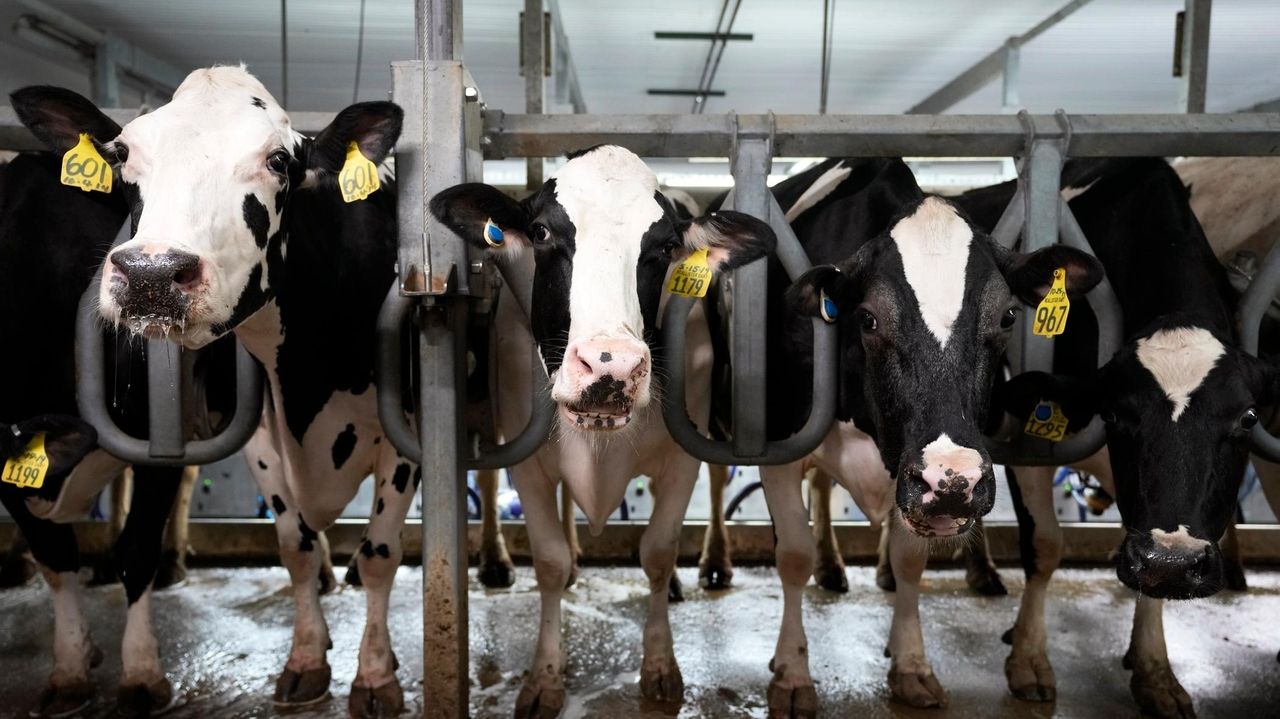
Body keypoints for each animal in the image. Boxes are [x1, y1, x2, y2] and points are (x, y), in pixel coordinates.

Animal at [16, 65, 410, 716]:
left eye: (278, 160)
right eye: (124, 153)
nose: (151, 274)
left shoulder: (406, 434)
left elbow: (380, 555)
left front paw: (376, 677)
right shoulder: (261, 434)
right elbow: (295, 547)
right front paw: (306, 659)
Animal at [430, 144, 775, 717]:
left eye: (665, 247)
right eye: (542, 232)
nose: (610, 366)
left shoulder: (682, 460)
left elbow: (657, 552)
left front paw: (660, 668)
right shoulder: (528, 463)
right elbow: (547, 561)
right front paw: (544, 679)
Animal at [726, 156, 1102, 714]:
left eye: (1008, 316)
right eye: (867, 318)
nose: (953, 480)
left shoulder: (910, 479)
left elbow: (909, 562)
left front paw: (910, 664)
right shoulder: (778, 443)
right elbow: (792, 555)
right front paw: (792, 674)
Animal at [961, 157, 1280, 719]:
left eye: (1246, 418)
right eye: (1112, 412)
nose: (1175, 560)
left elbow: (1150, 568)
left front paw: (1154, 668)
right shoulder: (1026, 441)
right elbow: (1044, 546)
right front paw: (1029, 661)